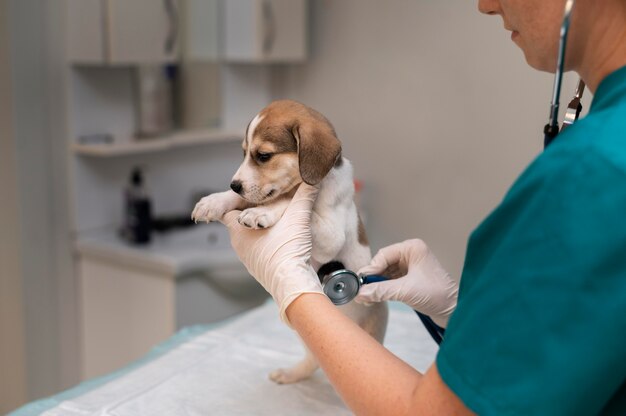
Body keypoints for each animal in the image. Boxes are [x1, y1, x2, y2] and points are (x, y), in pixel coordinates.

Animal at [191, 100, 386, 384]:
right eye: (243, 153)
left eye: (263, 155)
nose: (234, 184)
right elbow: (258, 198)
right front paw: (215, 201)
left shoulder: (331, 233)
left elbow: (287, 200)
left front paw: (261, 212)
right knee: (312, 360)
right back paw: (289, 374)